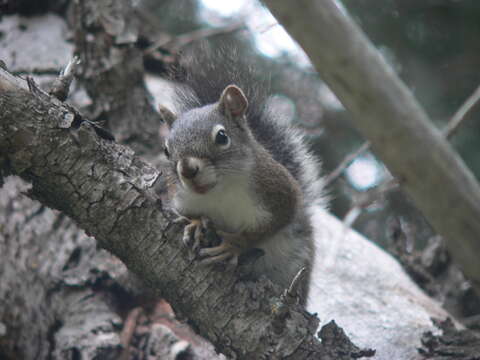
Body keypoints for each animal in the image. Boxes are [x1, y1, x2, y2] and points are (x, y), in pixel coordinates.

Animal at [162, 46, 326, 302]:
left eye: (222, 137)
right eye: (166, 150)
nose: (188, 170)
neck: (220, 191)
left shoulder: (280, 193)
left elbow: (267, 227)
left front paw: (234, 244)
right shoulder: (181, 198)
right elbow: (187, 213)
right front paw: (197, 223)